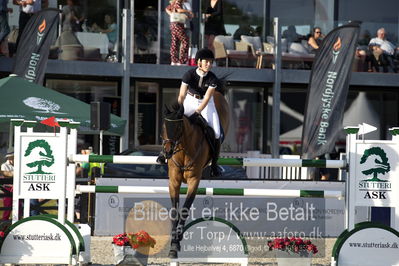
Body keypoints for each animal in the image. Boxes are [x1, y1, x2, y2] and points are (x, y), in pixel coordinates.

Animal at [160, 91, 230, 258]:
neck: (184, 149)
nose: (167, 152)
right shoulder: (174, 181)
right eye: (164, 127)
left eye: (178, 127)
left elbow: (185, 210)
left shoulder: (193, 181)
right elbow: (175, 210)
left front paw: (176, 243)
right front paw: (173, 244)